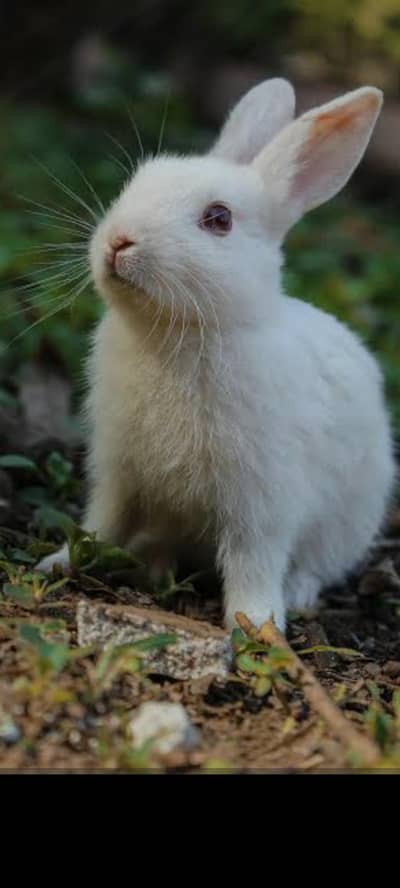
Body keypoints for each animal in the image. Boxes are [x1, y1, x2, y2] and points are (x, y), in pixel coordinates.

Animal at [37, 78, 396, 633]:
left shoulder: (262, 501)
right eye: (136, 183)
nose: (119, 241)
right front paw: (58, 562)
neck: (177, 333)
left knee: (316, 565)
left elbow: (253, 560)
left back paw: (296, 595)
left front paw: (256, 623)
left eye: (219, 219)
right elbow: (102, 522)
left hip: (349, 520)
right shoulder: (118, 471)